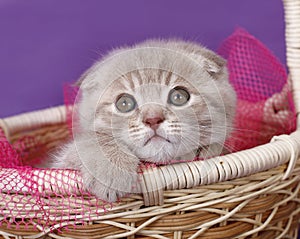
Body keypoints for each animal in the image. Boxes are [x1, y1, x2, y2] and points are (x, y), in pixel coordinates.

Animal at [51, 39, 237, 202]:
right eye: (124, 103)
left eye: (179, 96)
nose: (153, 119)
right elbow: (91, 140)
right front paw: (111, 169)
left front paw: (206, 150)